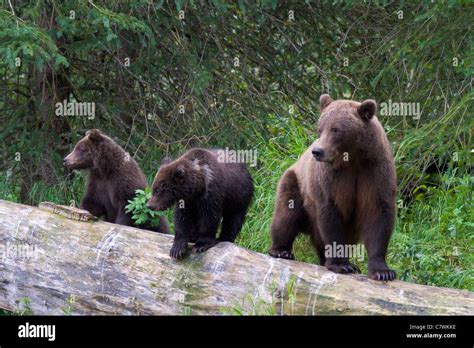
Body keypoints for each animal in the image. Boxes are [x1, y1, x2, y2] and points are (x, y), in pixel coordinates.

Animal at [270, 94, 396, 280]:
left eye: (336, 130)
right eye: (320, 129)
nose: (317, 151)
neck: (353, 160)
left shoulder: (375, 172)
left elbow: (378, 213)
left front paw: (382, 271)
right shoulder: (331, 179)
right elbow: (331, 213)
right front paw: (342, 265)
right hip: (296, 184)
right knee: (286, 215)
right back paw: (281, 250)